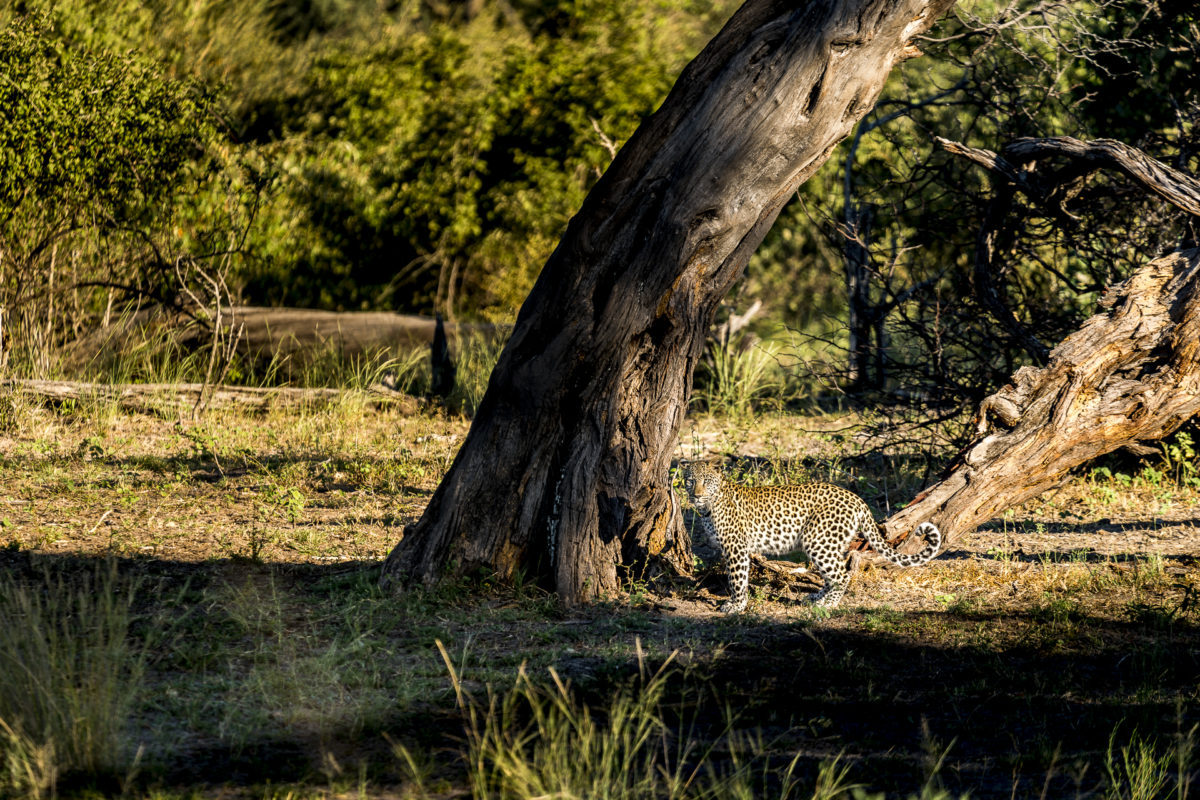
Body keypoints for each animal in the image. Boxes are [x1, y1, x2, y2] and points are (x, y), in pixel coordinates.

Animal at [681, 460, 940, 609]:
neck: (709, 507)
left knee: (842, 574)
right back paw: (817, 598)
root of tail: (856, 499)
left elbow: (737, 579)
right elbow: (740, 577)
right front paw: (739, 603)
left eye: (706, 481)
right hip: (829, 542)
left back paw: (828, 605)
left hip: (818, 540)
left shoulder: (735, 548)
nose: (696, 495)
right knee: (833, 574)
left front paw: (735, 605)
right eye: (691, 480)